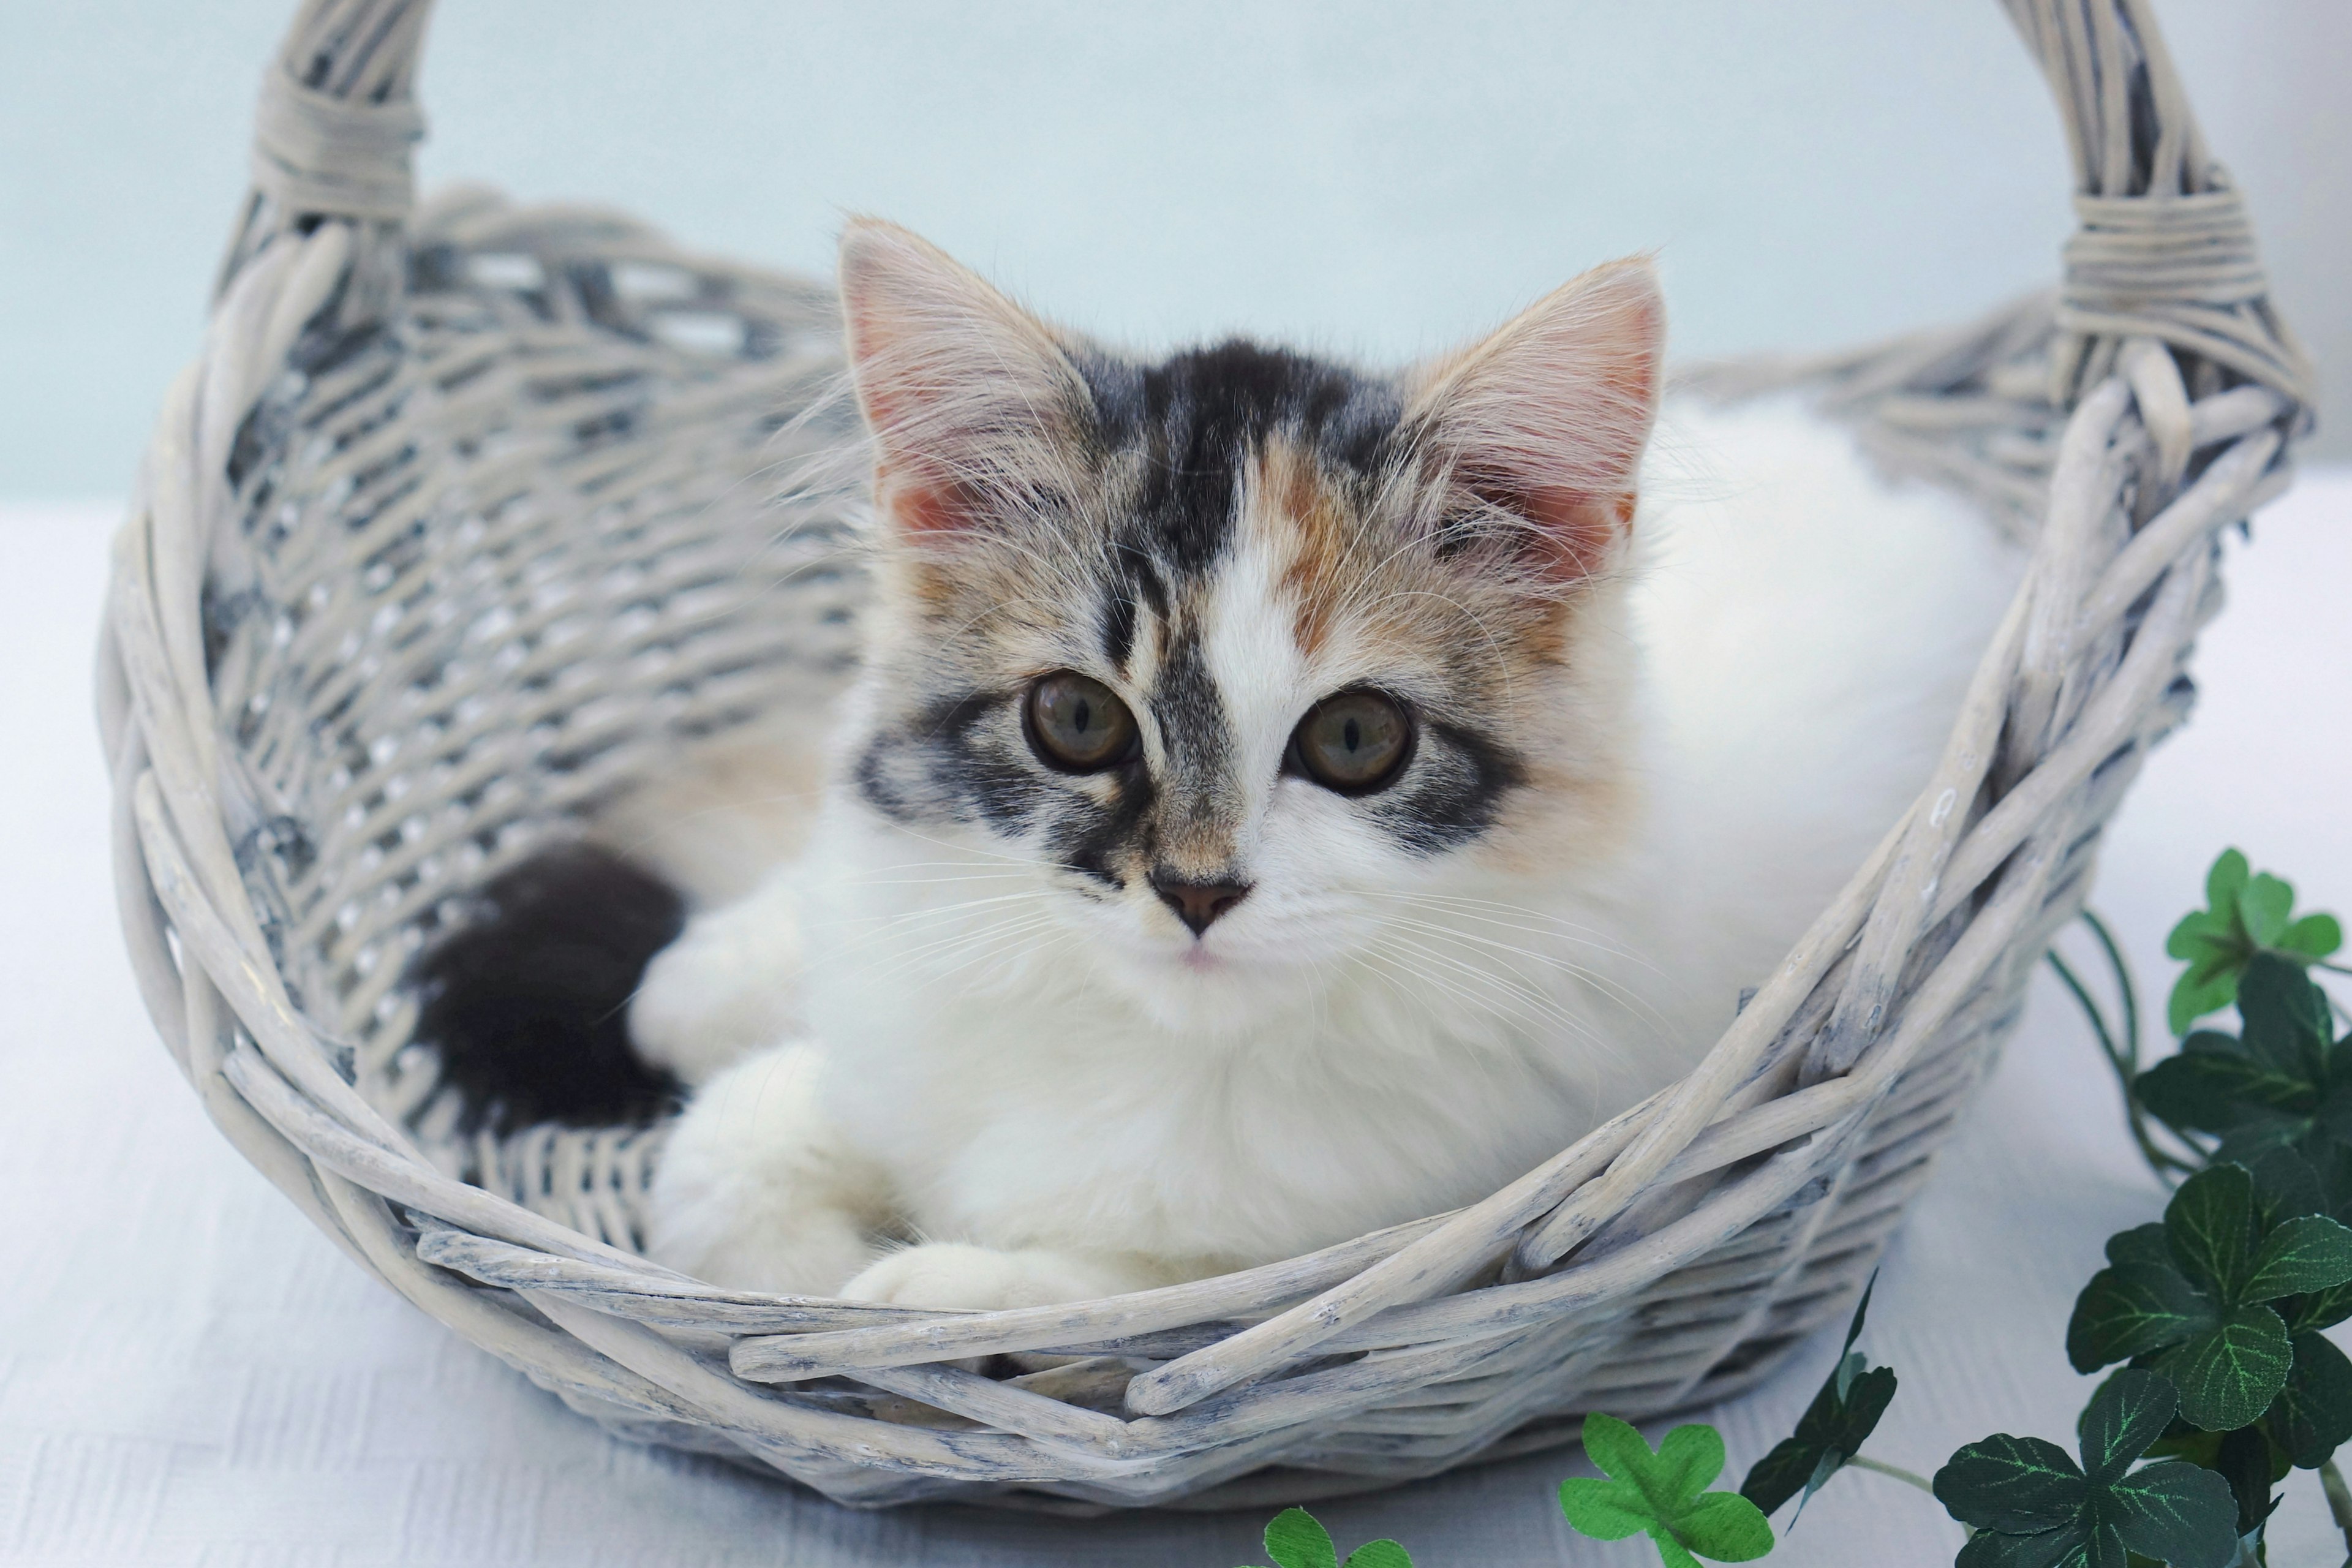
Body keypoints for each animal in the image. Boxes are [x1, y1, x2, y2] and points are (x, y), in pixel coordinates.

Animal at [625, 215, 2022, 1306]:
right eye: (1076, 720)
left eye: (1356, 741)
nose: (1196, 892)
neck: (1165, 1045)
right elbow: (721, 1146)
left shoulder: (1393, 1221)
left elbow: (1110, 1287)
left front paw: (907, 1287)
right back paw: (697, 978)